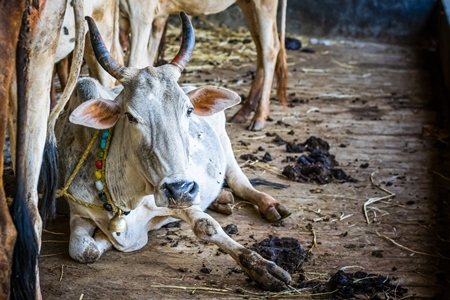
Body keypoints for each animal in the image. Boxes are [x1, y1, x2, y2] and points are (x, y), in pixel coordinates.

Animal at [118, 0, 288, 131]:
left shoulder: (142, 13)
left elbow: (136, 59)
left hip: (264, 4)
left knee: (270, 48)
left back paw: (259, 117)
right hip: (248, 4)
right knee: (259, 47)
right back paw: (244, 111)